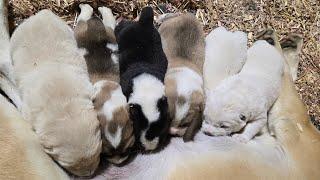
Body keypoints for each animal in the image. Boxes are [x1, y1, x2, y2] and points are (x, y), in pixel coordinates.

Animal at [10, 9, 101, 176]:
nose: (89, 174)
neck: (63, 106)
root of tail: (41, 14)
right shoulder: (29, 112)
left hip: (65, 29)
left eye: (97, 154)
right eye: (69, 166)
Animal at [74, 3, 134, 165]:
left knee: (91, 18)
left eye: (127, 150)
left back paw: (94, 8)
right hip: (99, 31)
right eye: (106, 154)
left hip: (99, 31)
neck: (106, 87)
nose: (119, 163)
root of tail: (96, 28)